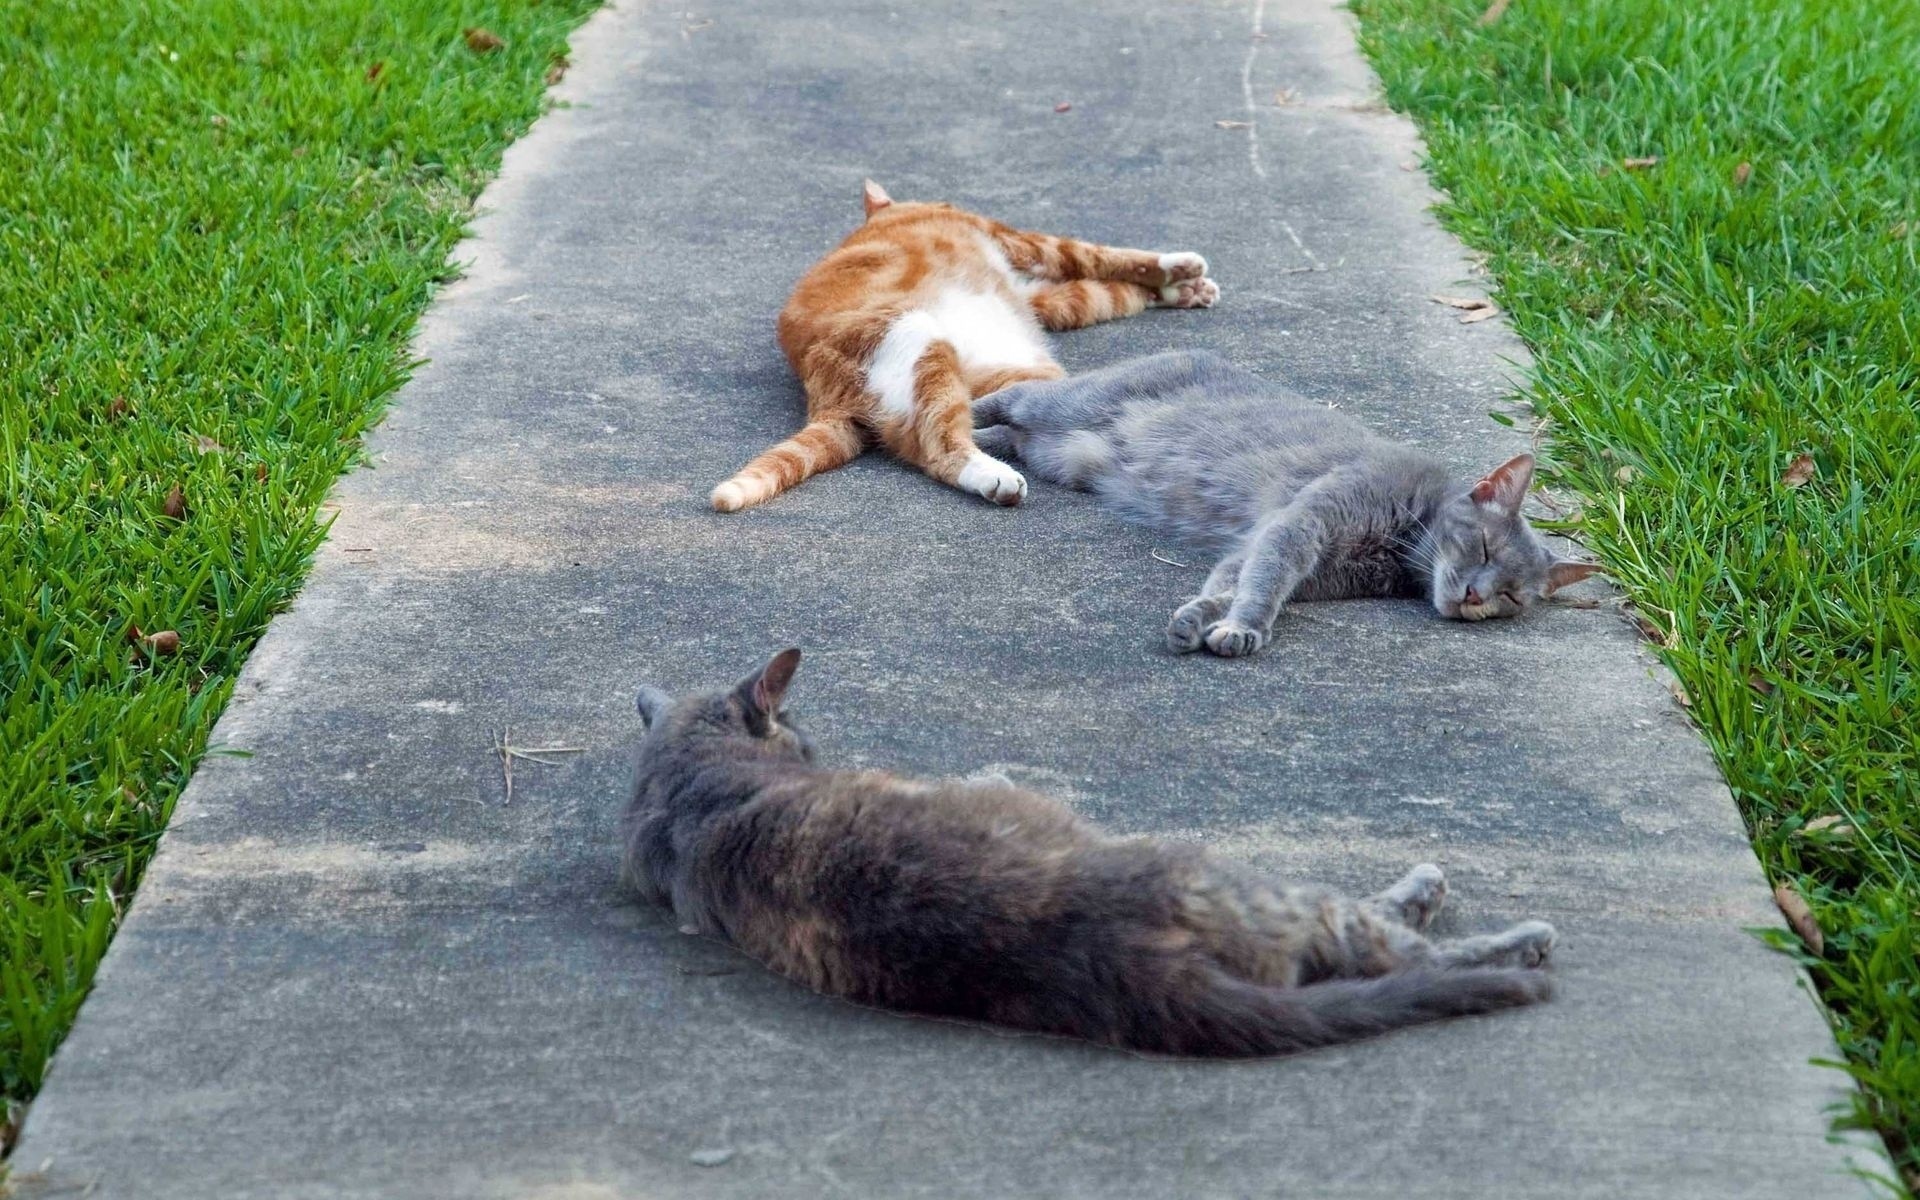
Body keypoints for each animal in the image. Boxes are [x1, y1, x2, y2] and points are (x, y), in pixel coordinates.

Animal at [629, 648, 1559, 1052]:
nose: (818, 743)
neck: (691, 783)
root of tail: (1114, 951)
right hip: (1262, 889)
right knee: (1396, 951)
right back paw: (1502, 932)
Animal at [706, 181, 1213, 510]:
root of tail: (822, 391)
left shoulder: (1041, 297)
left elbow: (1105, 293)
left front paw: (1185, 291)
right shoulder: (1018, 240)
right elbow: (1099, 257)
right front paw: (1181, 268)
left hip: (1010, 374)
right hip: (923, 343)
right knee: (939, 447)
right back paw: (995, 477)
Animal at [975, 351, 1605, 660]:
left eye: (1511, 597)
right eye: (1483, 547)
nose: (1476, 596)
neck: (1401, 544)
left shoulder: (1284, 552)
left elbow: (1237, 580)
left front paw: (1204, 621)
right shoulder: (1304, 522)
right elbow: (1266, 579)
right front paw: (1242, 629)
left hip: (1058, 453)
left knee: (1011, 435)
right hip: (1063, 404)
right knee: (1000, 397)